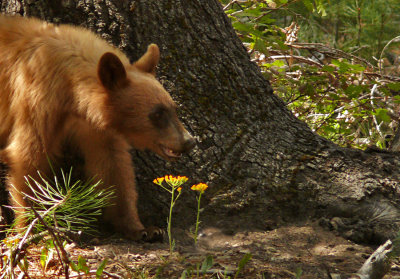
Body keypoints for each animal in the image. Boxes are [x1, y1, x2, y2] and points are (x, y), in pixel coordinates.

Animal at [0, 14, 195, 241]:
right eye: (156, 114)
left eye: (174, 109)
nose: (188, 141)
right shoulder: (36, 102)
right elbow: (28, 157)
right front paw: (30, 227)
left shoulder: (95, 126)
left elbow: (113, 166)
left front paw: (142, 228)